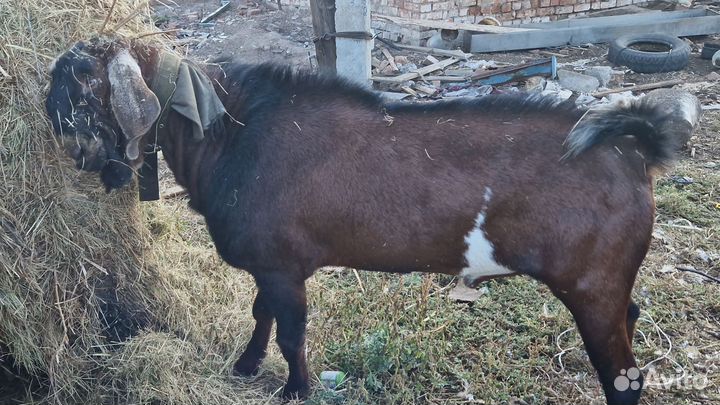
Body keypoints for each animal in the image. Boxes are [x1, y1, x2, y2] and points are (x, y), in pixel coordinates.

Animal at [45, 38, 700, 404]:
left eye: (76, 85)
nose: (55, 128)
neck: (229, 133)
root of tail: (632, 148)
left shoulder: (284, 266)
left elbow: (291, 332)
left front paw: (296, 391)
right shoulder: (267, 265)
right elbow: (261, 316)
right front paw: (245, 366)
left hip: (591, 284)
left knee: (623, 372)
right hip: (608, 281)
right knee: (632, 317)